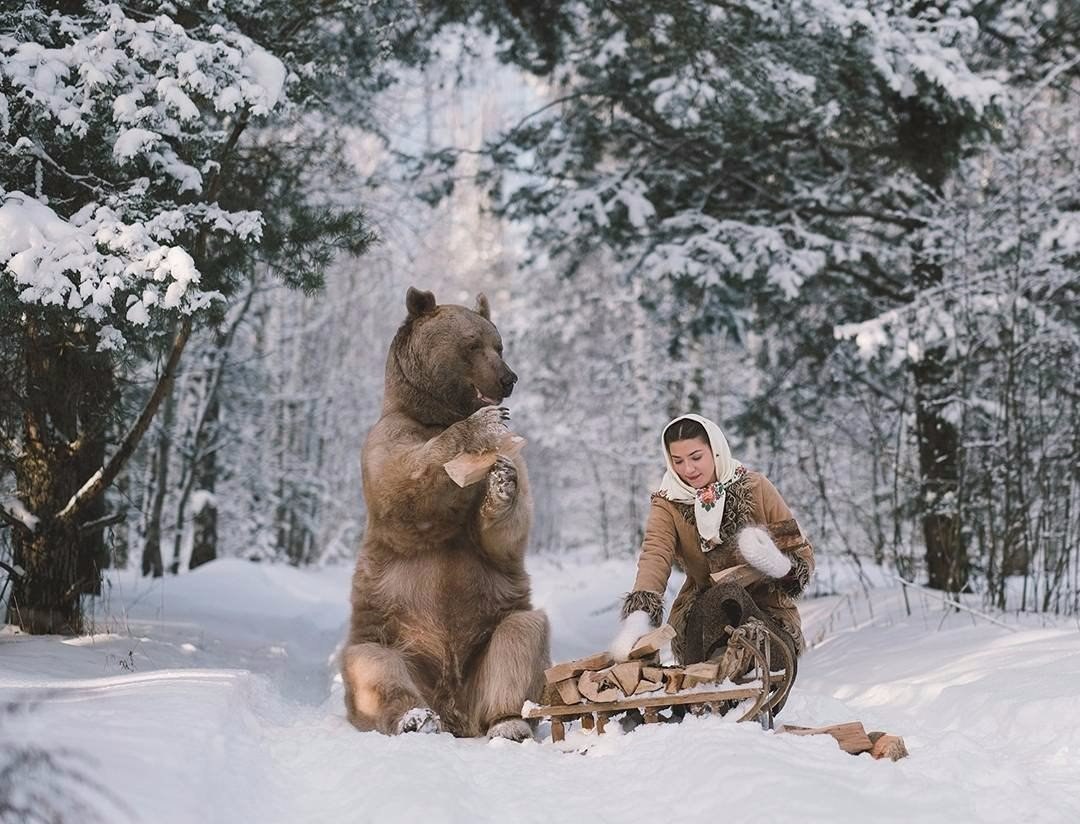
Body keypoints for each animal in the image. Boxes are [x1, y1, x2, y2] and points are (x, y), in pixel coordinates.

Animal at [341, 289, 548, 743]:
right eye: (472, 344)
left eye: (498, 344)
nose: (508, 378)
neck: (436, 414)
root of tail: (455, 709)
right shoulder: (387, 438)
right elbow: (402, 487)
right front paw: (479, 427)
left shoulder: (518, 457)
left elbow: (506, 538)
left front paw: (501, 485)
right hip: (391, 635)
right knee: (373, 666)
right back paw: (414, 718)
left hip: (485, 643)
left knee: (521, 635)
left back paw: (508, 722)